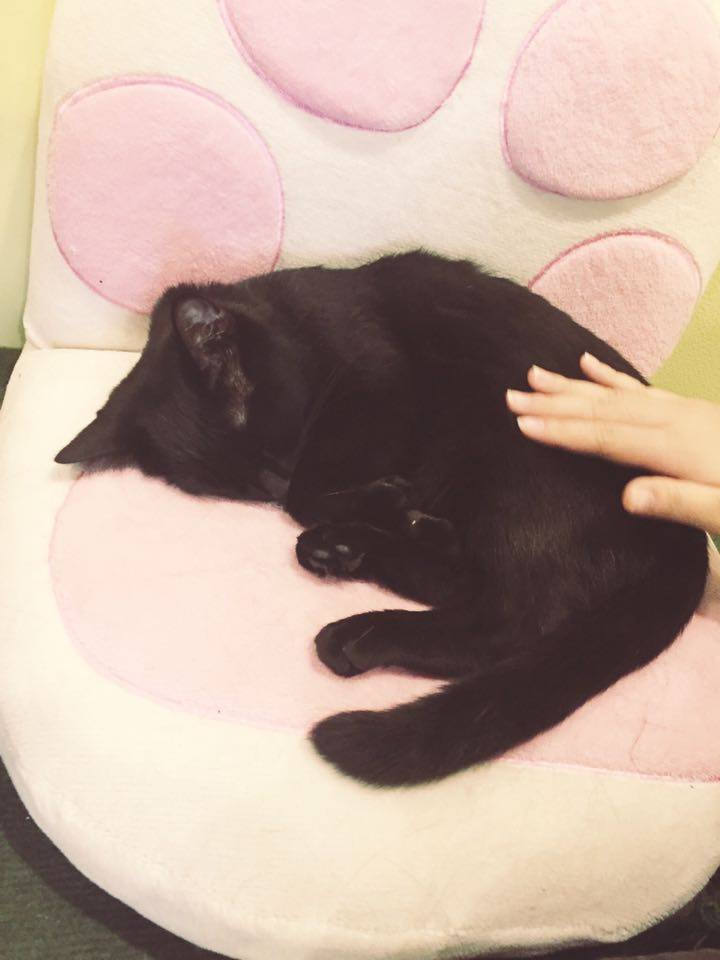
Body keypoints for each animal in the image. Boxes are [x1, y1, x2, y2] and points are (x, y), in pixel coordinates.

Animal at [56, 251, 708, 787]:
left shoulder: (376, 382)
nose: (272, 485)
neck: (302, 325)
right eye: (234, 484)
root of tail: (688, 541)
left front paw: (373, 500)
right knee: (469, 586)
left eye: (267, 445)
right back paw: (349, 552)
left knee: (515, 618)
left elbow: (313, 488)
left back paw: (357, 630)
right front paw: (383, 511)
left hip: (506, 455)